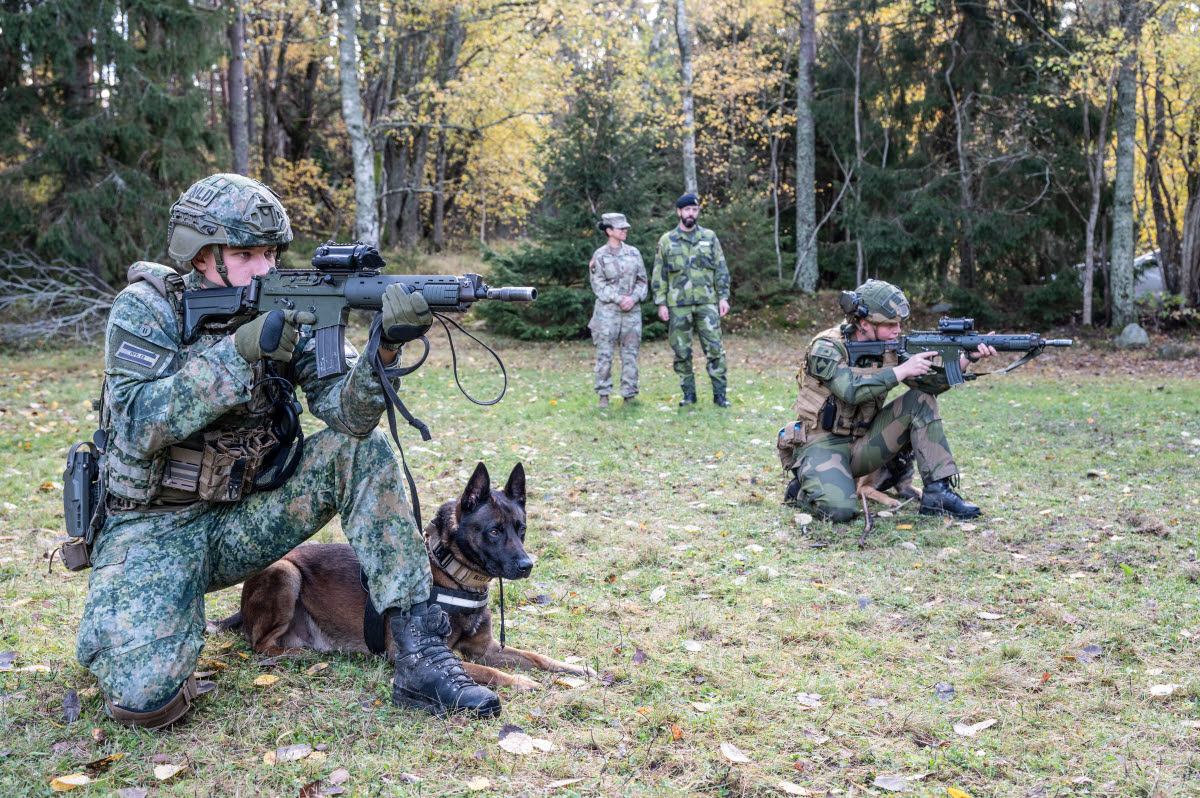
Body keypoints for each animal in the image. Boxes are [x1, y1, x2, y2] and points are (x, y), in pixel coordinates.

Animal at [220, 460, 595, 691]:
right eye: (493, 531)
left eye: (522, 529)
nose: (527, 565)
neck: (455, 576)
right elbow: (491, 673)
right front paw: (522, 683)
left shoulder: (486, 648)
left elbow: (537, 657)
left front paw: (576, 669)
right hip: (285, 571)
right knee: (260, 646)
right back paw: (304, 655)